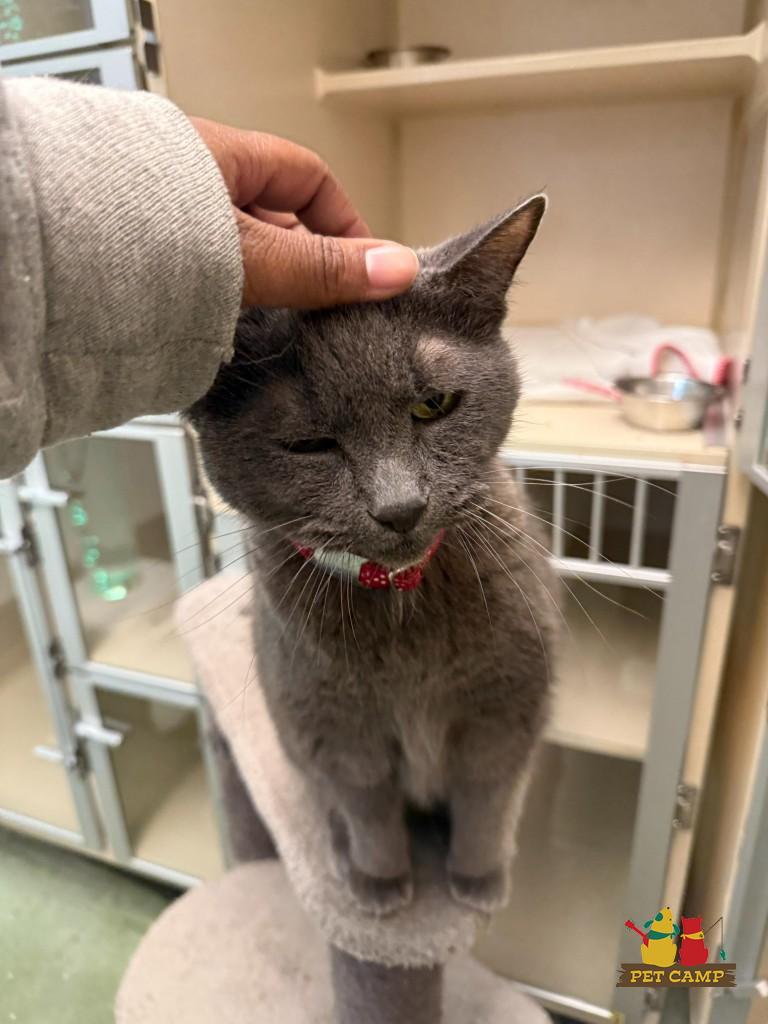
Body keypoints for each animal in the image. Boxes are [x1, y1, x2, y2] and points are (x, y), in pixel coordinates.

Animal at [188, 195, 558, 916]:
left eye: (433, 404)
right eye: (309, 444)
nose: (401, 506)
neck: (402, 601)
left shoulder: (508, 706)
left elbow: (485, 797)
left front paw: (477, 880)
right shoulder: (334, 729)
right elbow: (368, 810)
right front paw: (381, 887)